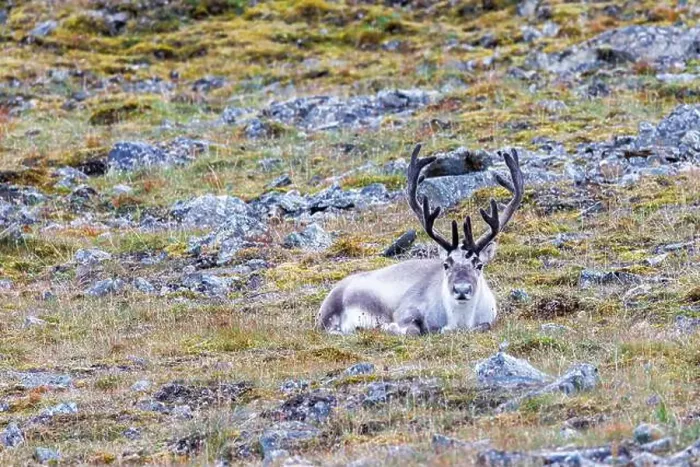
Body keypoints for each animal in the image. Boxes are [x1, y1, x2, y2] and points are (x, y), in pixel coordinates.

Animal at [316, 145, 524, 335]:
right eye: (446, 264)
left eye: (479, 264)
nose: (462, 289)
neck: (461, 321)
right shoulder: (407, 308)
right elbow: (412, 329)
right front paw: (389, 327)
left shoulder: (489, 318)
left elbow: (484, 326)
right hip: (330, 312)